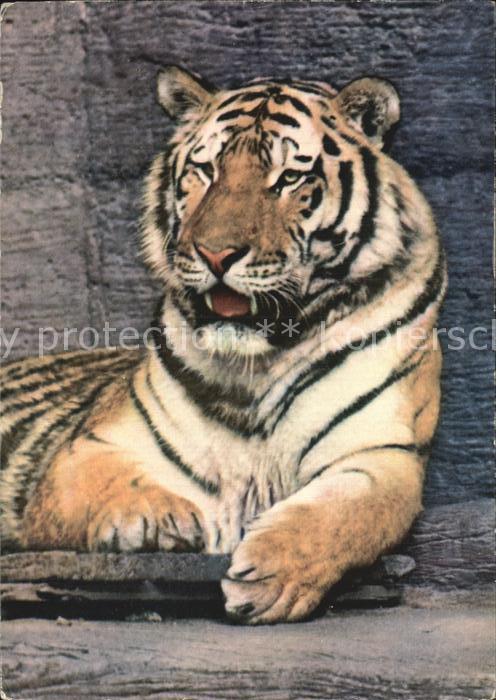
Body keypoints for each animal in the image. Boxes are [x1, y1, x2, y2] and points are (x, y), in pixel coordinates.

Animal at [0, 66, 446, 624]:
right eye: (206, 169)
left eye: (289, 178)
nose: (215, 254)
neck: (258, 362)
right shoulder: (90, 447)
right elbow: (110, 482)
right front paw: (161, 520)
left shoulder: (381, 452)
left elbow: (347, 515)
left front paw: (271, 576)